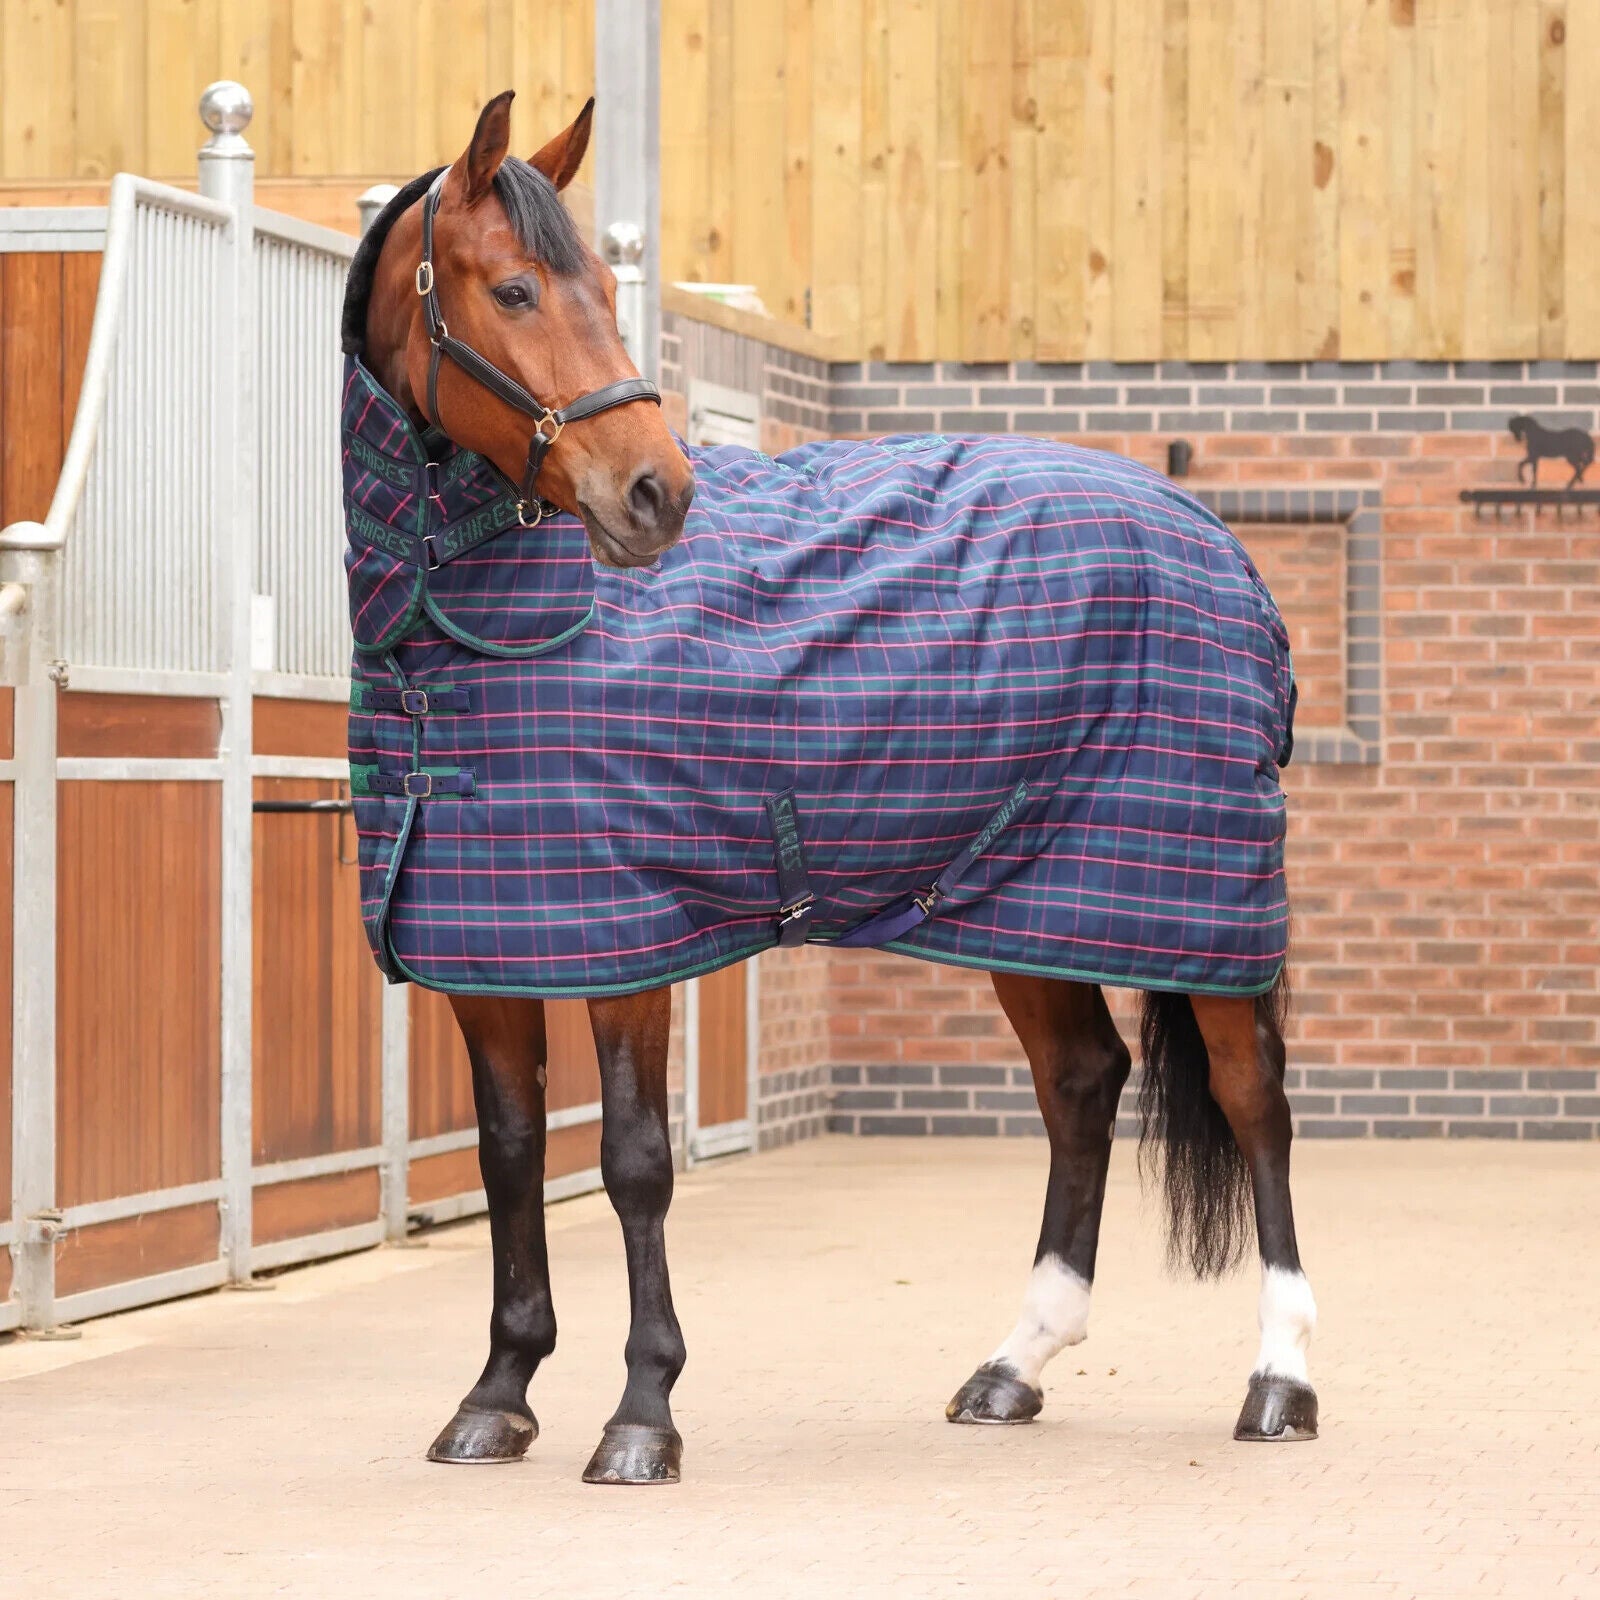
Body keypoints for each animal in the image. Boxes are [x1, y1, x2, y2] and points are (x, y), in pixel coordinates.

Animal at [346, 91, 1318, 1486]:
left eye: (606, 286)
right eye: (517, 288)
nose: (655, 493)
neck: (480, 634)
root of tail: (1216, 540)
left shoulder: (634, 948)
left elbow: (634, 1163)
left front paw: (641, 1415)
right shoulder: (488, 954)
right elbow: (510, 1156)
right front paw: (497, 1394)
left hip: (1200, 907)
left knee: (1255, 1104)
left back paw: (1279, 1379)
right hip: (1025, 903)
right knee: (1080, 1083)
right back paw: (1013, 1365)